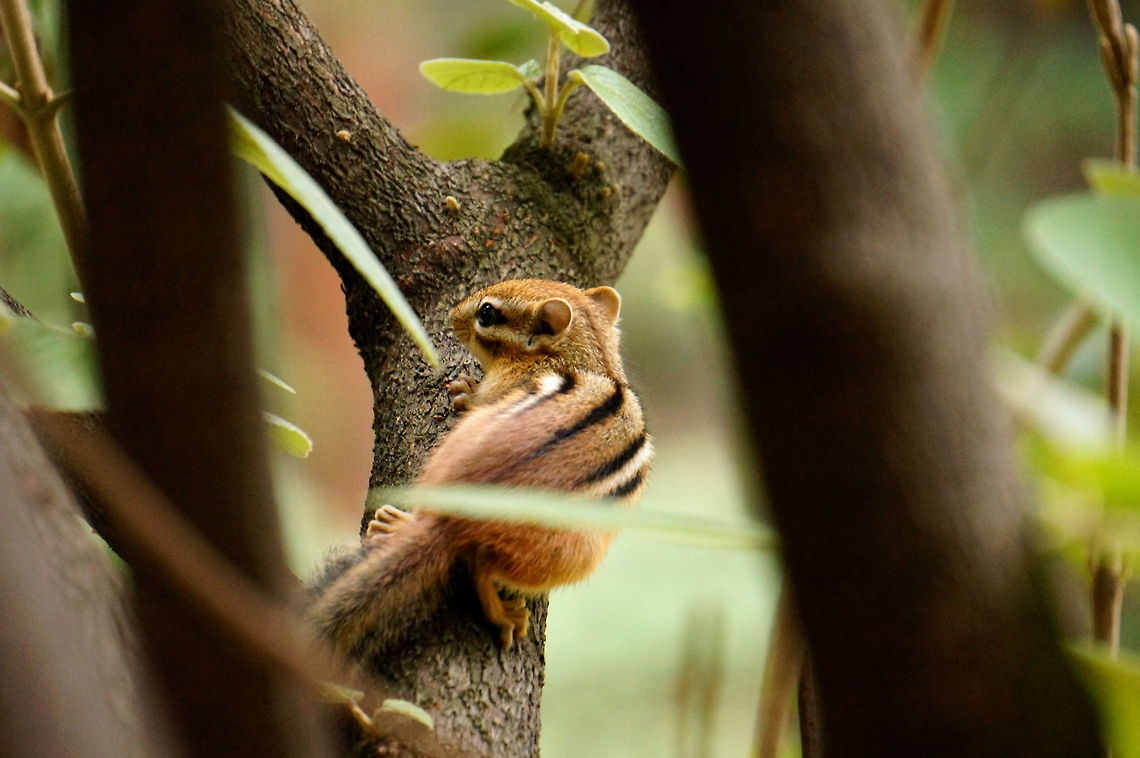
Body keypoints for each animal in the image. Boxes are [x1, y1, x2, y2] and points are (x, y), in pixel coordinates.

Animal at [309, 279, 653, 657]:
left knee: (480, 566)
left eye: (486, 313)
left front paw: (466, 392)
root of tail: (454, 520)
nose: (451, 315)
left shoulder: (509, 384)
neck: (590, 355)